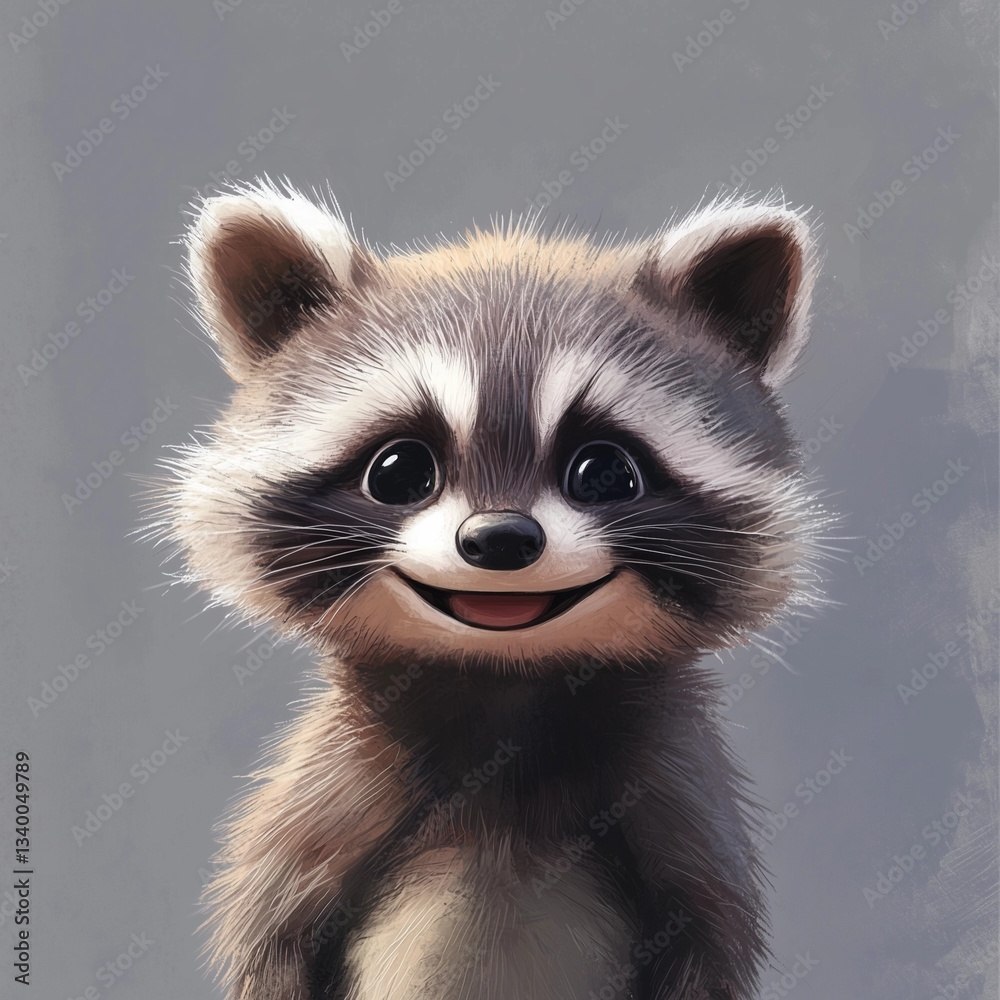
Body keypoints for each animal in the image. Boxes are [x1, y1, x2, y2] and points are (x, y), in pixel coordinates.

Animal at [152, 181, 830, 1000]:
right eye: (399, 469)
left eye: (605, 470)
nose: (501, 539)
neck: (503, 681)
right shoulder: (327, 795)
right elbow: (272, 940)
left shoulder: (681, 801)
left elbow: (709, 938)